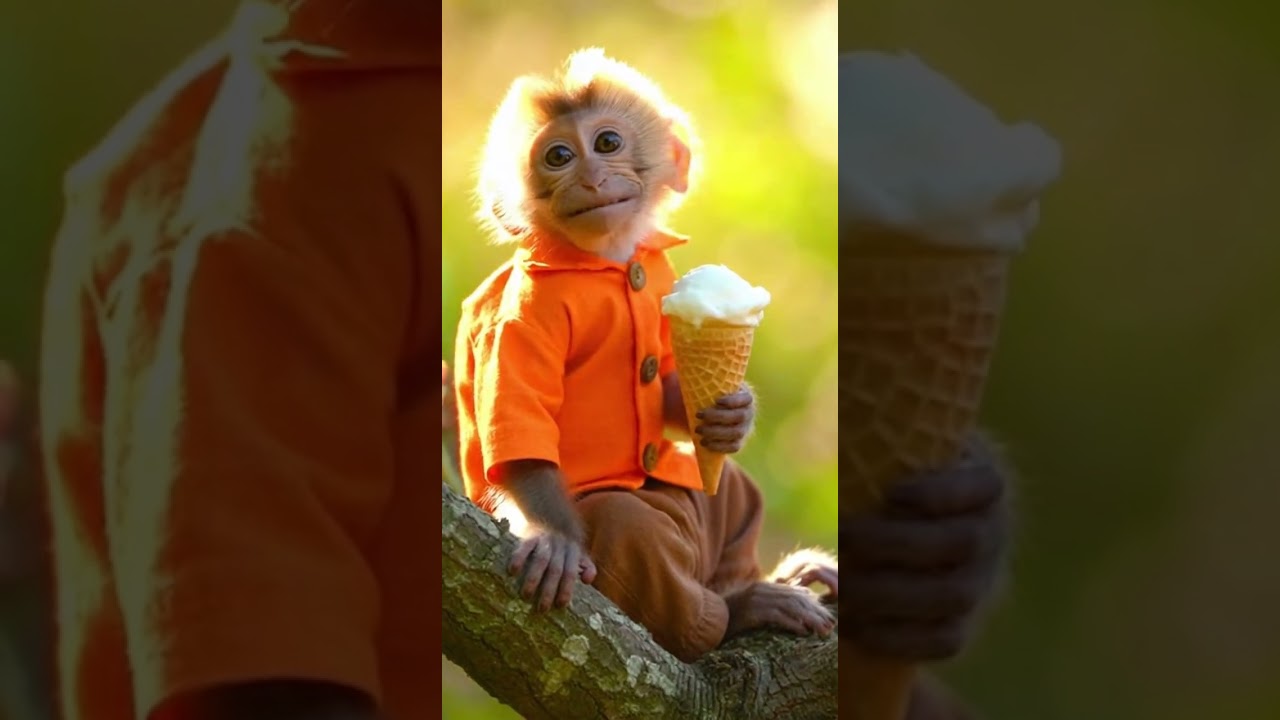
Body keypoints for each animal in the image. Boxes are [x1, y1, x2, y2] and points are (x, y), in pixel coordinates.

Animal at [452, 48, 837, 662]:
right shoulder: (520, 318)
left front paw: (736, 414)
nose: (589, 175)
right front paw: (555, 540)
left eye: (607, 142)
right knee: (630, 525)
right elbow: (522, 433)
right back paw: (739, 609)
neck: (605, 260)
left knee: (735, 493)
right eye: (558, 157)